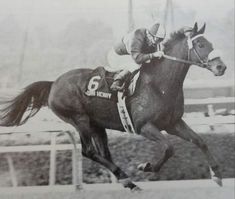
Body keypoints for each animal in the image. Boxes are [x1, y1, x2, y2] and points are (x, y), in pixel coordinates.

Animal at [0, 22, 228, 190]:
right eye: (201, 45)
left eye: (209, 43)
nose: (221, 67)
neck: (160, 84)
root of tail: (53, 83)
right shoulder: (144, 126)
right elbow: (169, 147)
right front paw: (146, 166)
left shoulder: (173, 123)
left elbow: (200, 141)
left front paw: (216, 174)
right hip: (79, 120)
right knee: (88, 152)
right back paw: (127, 178)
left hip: (97, 125)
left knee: (104, 153)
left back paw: (127, 181)